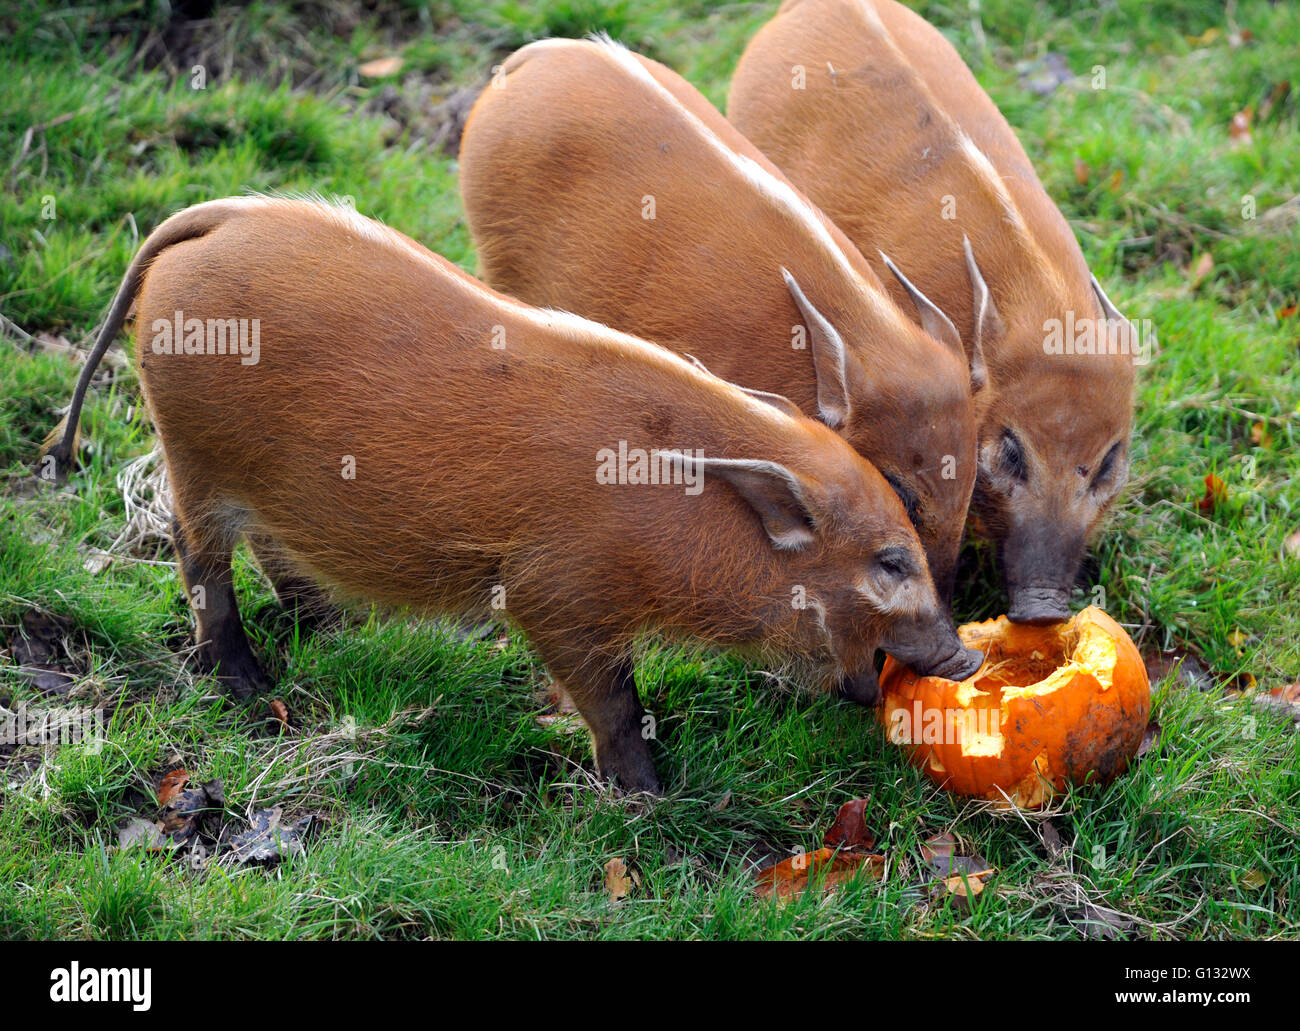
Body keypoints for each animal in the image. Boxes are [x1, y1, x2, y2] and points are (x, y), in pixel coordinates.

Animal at [40, 197, 977, 790]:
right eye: (889, 560)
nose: (967, 655)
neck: (684, 510)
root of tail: (216, 216)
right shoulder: (554, 591)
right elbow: (613, 699)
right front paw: (648, 793)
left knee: (271, 547)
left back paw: (333, 627)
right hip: (190, 454)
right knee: (198, 557)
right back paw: (244, 682)